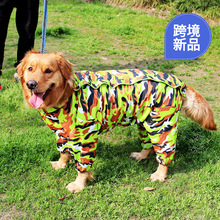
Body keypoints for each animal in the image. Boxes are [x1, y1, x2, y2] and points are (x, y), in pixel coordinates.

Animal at [17, 50, 217, 192]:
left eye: (48, 71)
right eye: (30, 69)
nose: (31, 84)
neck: (65, 96)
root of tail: (179, 82)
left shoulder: (85, 137)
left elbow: (82, 164)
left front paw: (79, 184)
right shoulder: (61, 133)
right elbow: (64, 151)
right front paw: (61, 164)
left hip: (161, 124)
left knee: (165, 151)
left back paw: (160, 174)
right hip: (146, 121)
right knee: (148, 144)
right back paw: (141, 155)